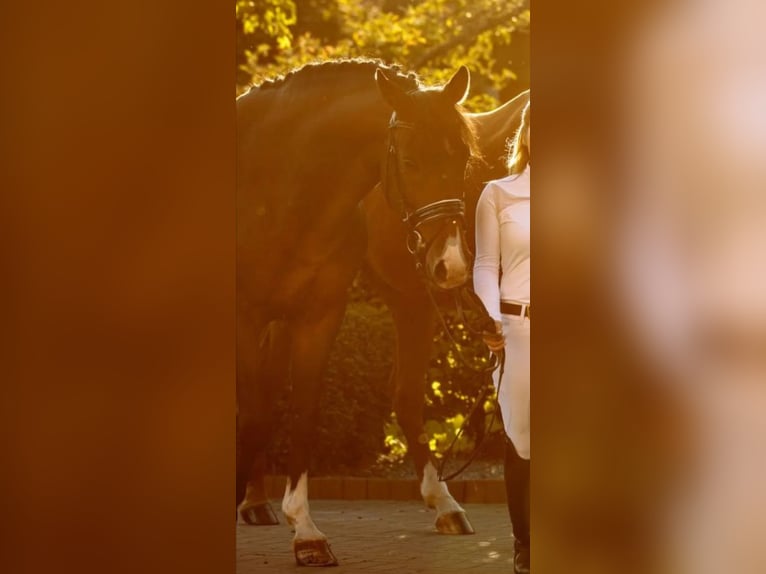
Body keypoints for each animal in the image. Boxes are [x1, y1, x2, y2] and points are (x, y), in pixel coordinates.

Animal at [237, 58, 484, 568]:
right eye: (409, 162)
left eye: (462, 161)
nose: (451, 264)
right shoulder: (246, 316)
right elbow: (250, 415)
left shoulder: (318, 317)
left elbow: (303, 410)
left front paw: (306, 532)